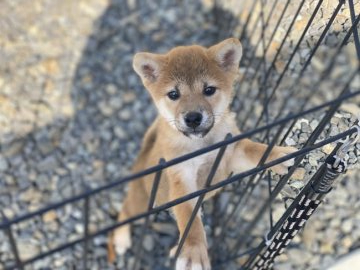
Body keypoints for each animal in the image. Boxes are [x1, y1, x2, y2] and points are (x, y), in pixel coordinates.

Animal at [107, 38, 296, 270]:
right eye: (173, 94)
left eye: (209, 89)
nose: (193, 118)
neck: (203, 144)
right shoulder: (182, 176)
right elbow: (190, 218)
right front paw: (193, 253)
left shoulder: (231, 152)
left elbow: (255, 149)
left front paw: (279, 154)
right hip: (141, 202)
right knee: (125, 212)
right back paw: (121, 238)